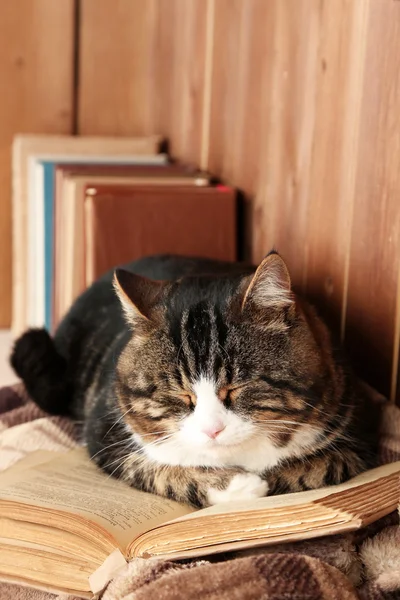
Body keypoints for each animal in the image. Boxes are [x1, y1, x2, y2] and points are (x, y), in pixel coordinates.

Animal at [10, 251, 378, 508]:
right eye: (180, 394)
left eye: (235, 388)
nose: (212, 430)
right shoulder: (105, 432)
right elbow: (153, 468)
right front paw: (234, 485)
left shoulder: (357, 433)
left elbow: (318, 467)